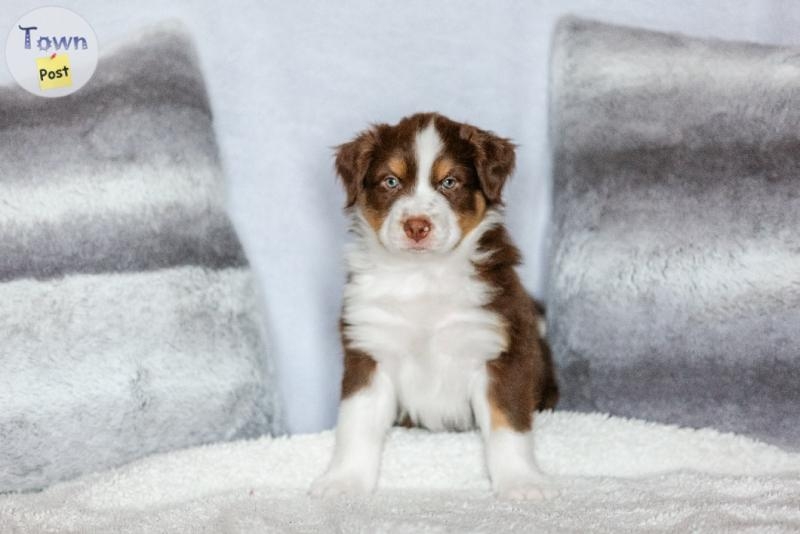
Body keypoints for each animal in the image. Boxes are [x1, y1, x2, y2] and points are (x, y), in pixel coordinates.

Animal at [310, 113, 560, 502]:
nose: (417, 226)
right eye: (391, 181)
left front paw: (521, 482)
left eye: (449, 182)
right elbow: (356, 423)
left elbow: (508, 425)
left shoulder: (503, 349)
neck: (422, 276)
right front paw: (344, 481)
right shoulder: (369, 350)